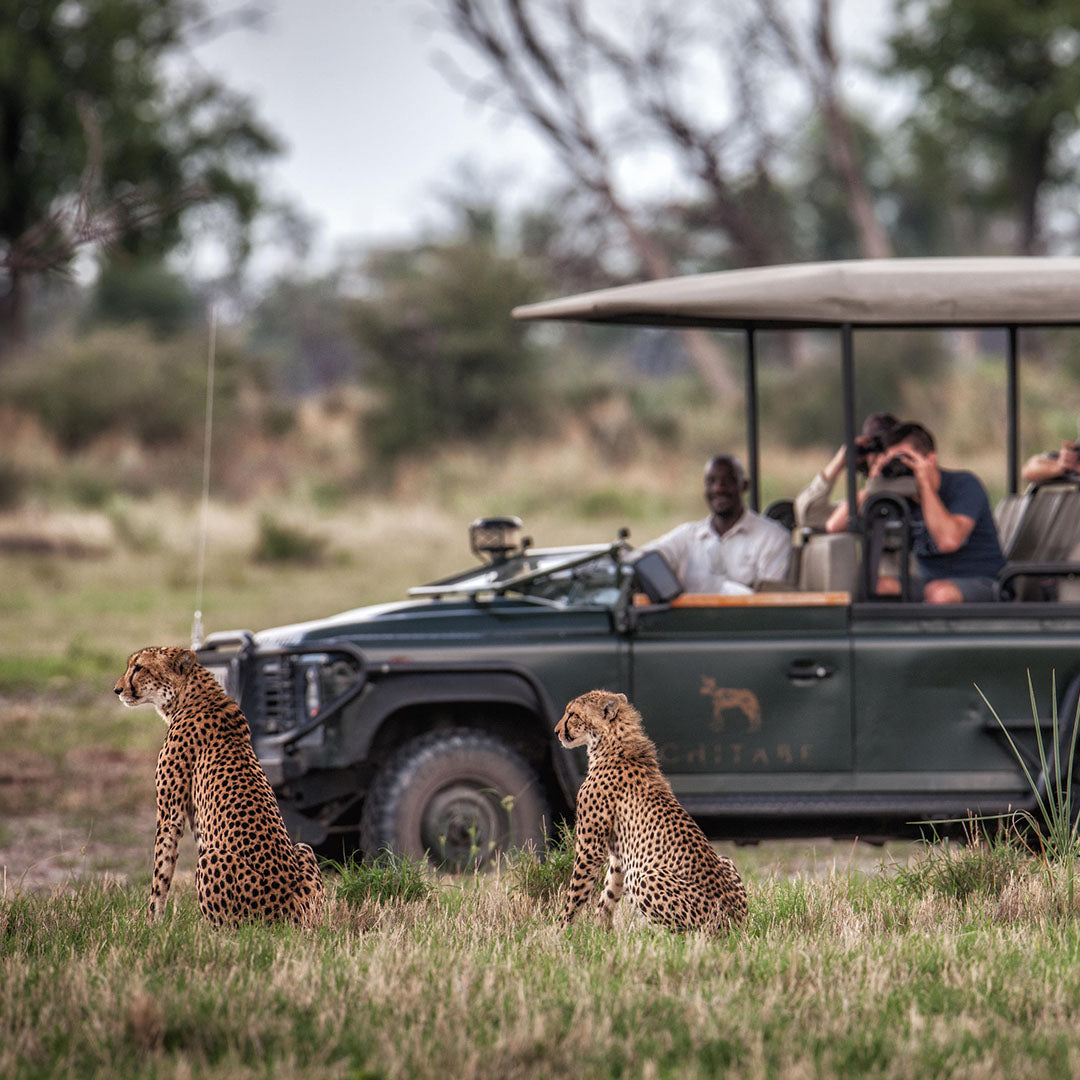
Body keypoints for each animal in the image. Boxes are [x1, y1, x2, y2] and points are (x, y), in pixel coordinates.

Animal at [114, 645, 325, 927]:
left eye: (139, 668)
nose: (117, 689)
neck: (191, 694)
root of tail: (293, 908)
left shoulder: (170, 815)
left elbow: (161, 873)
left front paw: (151, 925)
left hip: (213, 859)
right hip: (303, 849)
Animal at [556, 689, 747, 933]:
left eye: (572, 714)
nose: (556, 731)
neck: (612, 744)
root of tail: (737, 923)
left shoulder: (591, 849)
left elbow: (576, 893)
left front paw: (558, 930)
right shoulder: (619, 856)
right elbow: (608, 895)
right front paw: (601, 933)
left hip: (645, 877)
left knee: (682, 934)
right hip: (725, 860)